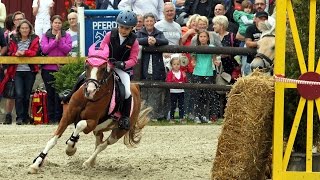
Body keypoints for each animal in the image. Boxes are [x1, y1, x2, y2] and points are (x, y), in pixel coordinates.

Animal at [28, 43, 151, 173]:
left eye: (103, 69)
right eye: (87, 66)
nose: (90, 91)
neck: (88, 99)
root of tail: (136, 87)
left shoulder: (92, 122)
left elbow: (80, 125)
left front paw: (70, 148)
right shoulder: (67, 116)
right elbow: (53, 140)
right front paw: (36, 164)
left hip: (119, 131)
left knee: (103, 145)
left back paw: (87, 162)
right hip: (99, 128)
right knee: (99, 140)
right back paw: (91, 163)